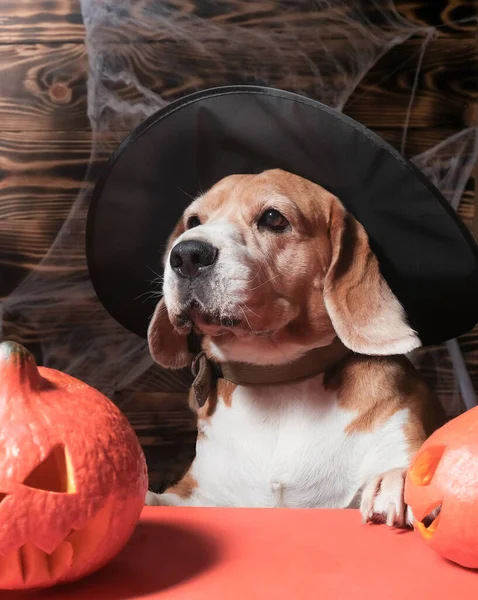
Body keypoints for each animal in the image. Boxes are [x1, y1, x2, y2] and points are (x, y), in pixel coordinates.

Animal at [146, 168, 444, 524]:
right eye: (193, 221)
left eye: (273, 218)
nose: (187, 254)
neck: (280, 381)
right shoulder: (196, 494)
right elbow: (156, 499)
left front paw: (399, 482)